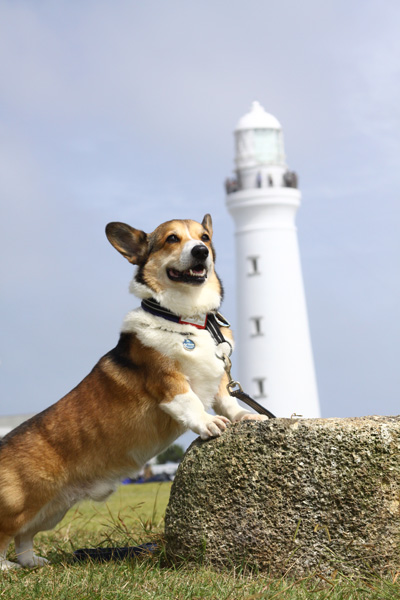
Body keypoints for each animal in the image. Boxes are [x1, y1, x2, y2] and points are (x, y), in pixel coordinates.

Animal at [0, 213, 266, 568]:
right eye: (172, 239)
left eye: (205, 237)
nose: (200, 252)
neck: (187, 320)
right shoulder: (168, 382)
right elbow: (191, 403)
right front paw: (209, 423)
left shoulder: (221, 379)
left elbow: (227, 401)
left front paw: (246, 417)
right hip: (20, 504)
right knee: (6, 534)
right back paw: (6, 567)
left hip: (50, 509)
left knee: (24, 537)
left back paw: (31, 563)